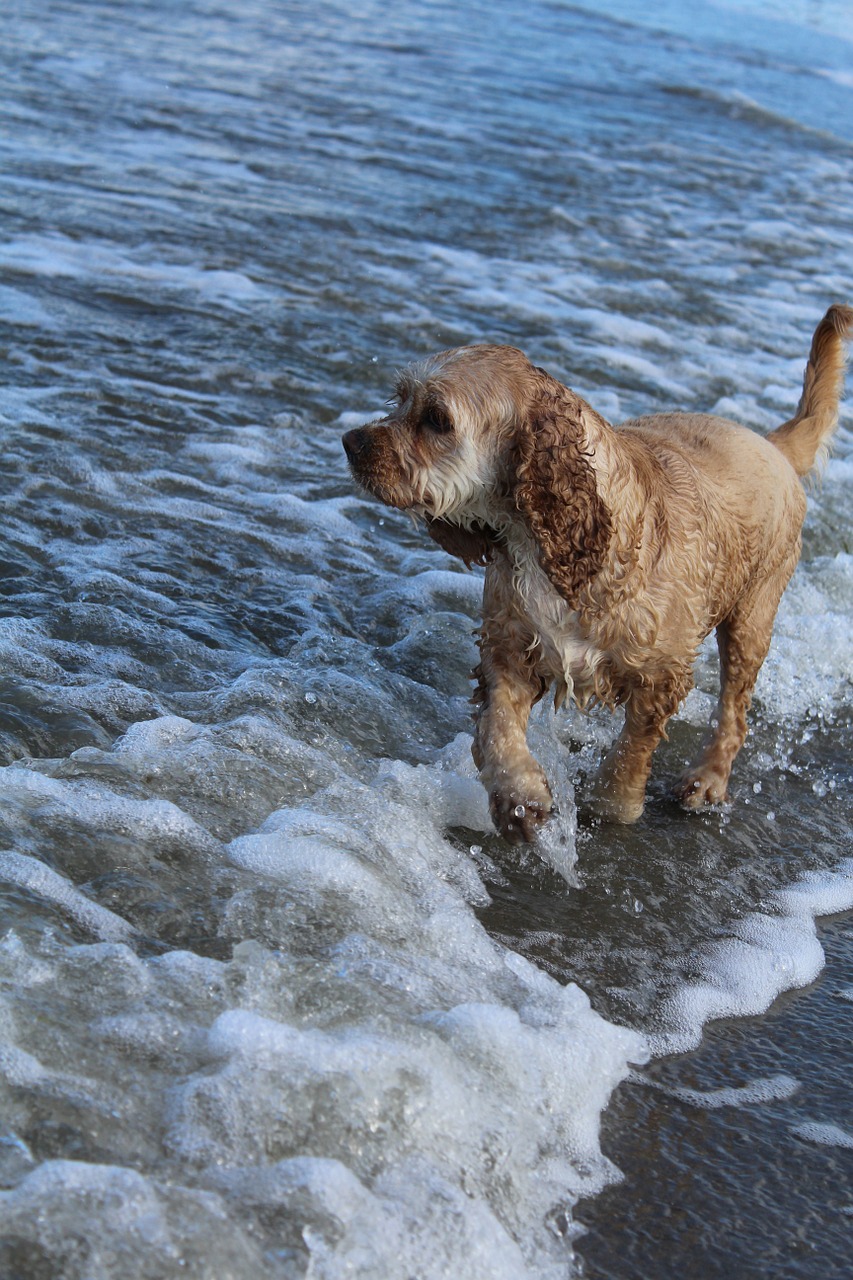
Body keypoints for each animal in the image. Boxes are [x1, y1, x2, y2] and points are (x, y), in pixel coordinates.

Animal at [343, 305, 845, 844]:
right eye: (400, 398)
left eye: (437, 419)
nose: (350, 441)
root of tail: (771, 444)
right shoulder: (507, 646)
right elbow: (499, 726)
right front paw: (520, 798)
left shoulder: (662, 674)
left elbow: (633, 748)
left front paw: (615, 803)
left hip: (752, 618)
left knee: (734, 710)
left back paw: (708, 779)